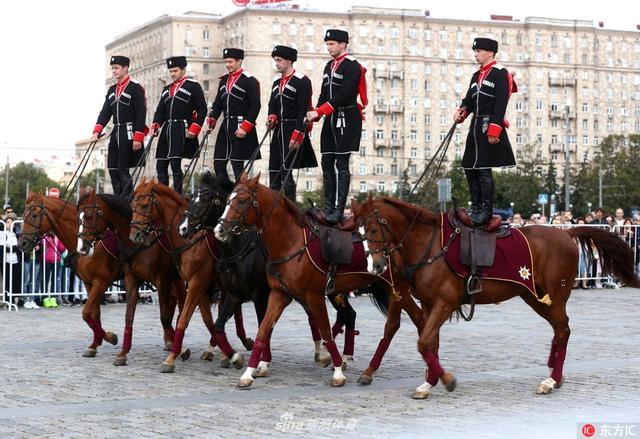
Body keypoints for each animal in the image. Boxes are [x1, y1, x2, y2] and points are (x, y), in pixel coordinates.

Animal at [18, 192, 122, 358]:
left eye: (34, 215)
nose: (22, 243)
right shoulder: (89, 283)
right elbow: (94, 314)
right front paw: (95, 344)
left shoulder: (102, 282)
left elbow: (86, 313)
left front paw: (108, 337)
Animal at [75, 191, 190, 366]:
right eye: (78, 217)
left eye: (88, 215)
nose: (82, 247)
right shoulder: (130, 280)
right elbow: (126, 316)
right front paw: (122, 353)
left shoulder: (162, 280)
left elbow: (164, 316)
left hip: (178, 280)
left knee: (181, 307)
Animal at [215, 174, 424, 388]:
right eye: (226, 200)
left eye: (241, 201)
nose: (219, 230)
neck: (292, 242)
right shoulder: (278, 295)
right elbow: (263, 331)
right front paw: (250, 372)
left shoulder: (313, 297)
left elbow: (325, 331)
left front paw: (337, 371)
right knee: (409, 319)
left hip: (397, 288)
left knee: (401, 322)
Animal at [350, 198, 640, 400]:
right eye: (357, 230)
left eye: (373, 228)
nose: (375, 266)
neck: (431, 246)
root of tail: (567, 233)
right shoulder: (428, 304)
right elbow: (430, 342)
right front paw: (429, 381)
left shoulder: (444, 303)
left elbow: (423, 342)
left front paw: (445, 379)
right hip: (535, 298)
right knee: (560, 331)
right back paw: (553, 373)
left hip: (555, 298)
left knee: (563, 331)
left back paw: (550, 380)